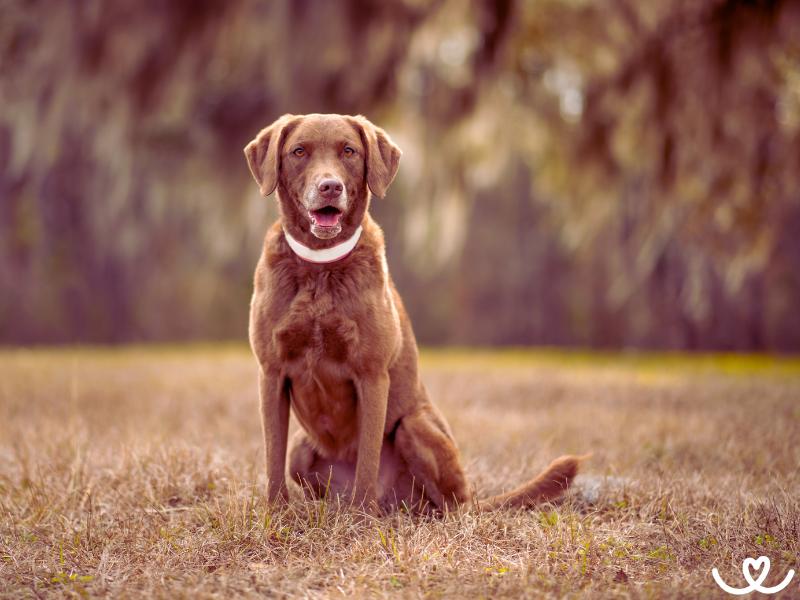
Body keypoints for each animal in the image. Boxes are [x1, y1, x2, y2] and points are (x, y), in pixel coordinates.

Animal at [244, 112, 580, 510]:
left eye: (349, 151)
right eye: (298, 151)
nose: (330, 187)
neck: (319, 268)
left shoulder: (372, 374)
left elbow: (368, 457)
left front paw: (360, 518)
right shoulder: (271, 372)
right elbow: (272, 454)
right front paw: (276, 511)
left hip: (414, 426)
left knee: (450, 506)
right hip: (302, 447)